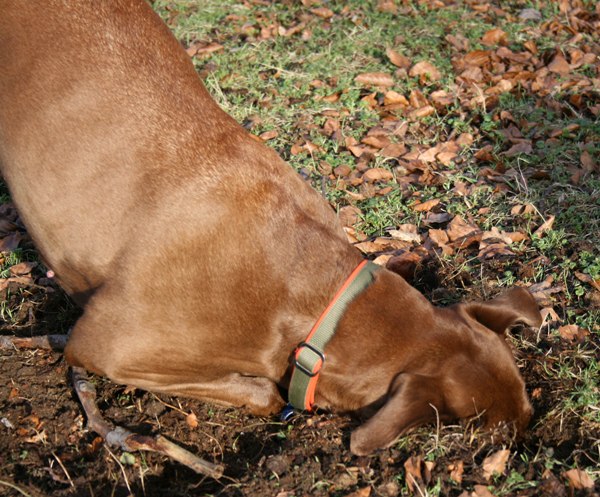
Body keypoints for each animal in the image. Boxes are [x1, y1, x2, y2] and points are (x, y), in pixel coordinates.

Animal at [0, 0, 544, 458]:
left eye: (527, 405)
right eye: (484, 429)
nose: (525, 443)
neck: (318, 302)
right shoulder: (104, 343)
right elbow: (264, 392)